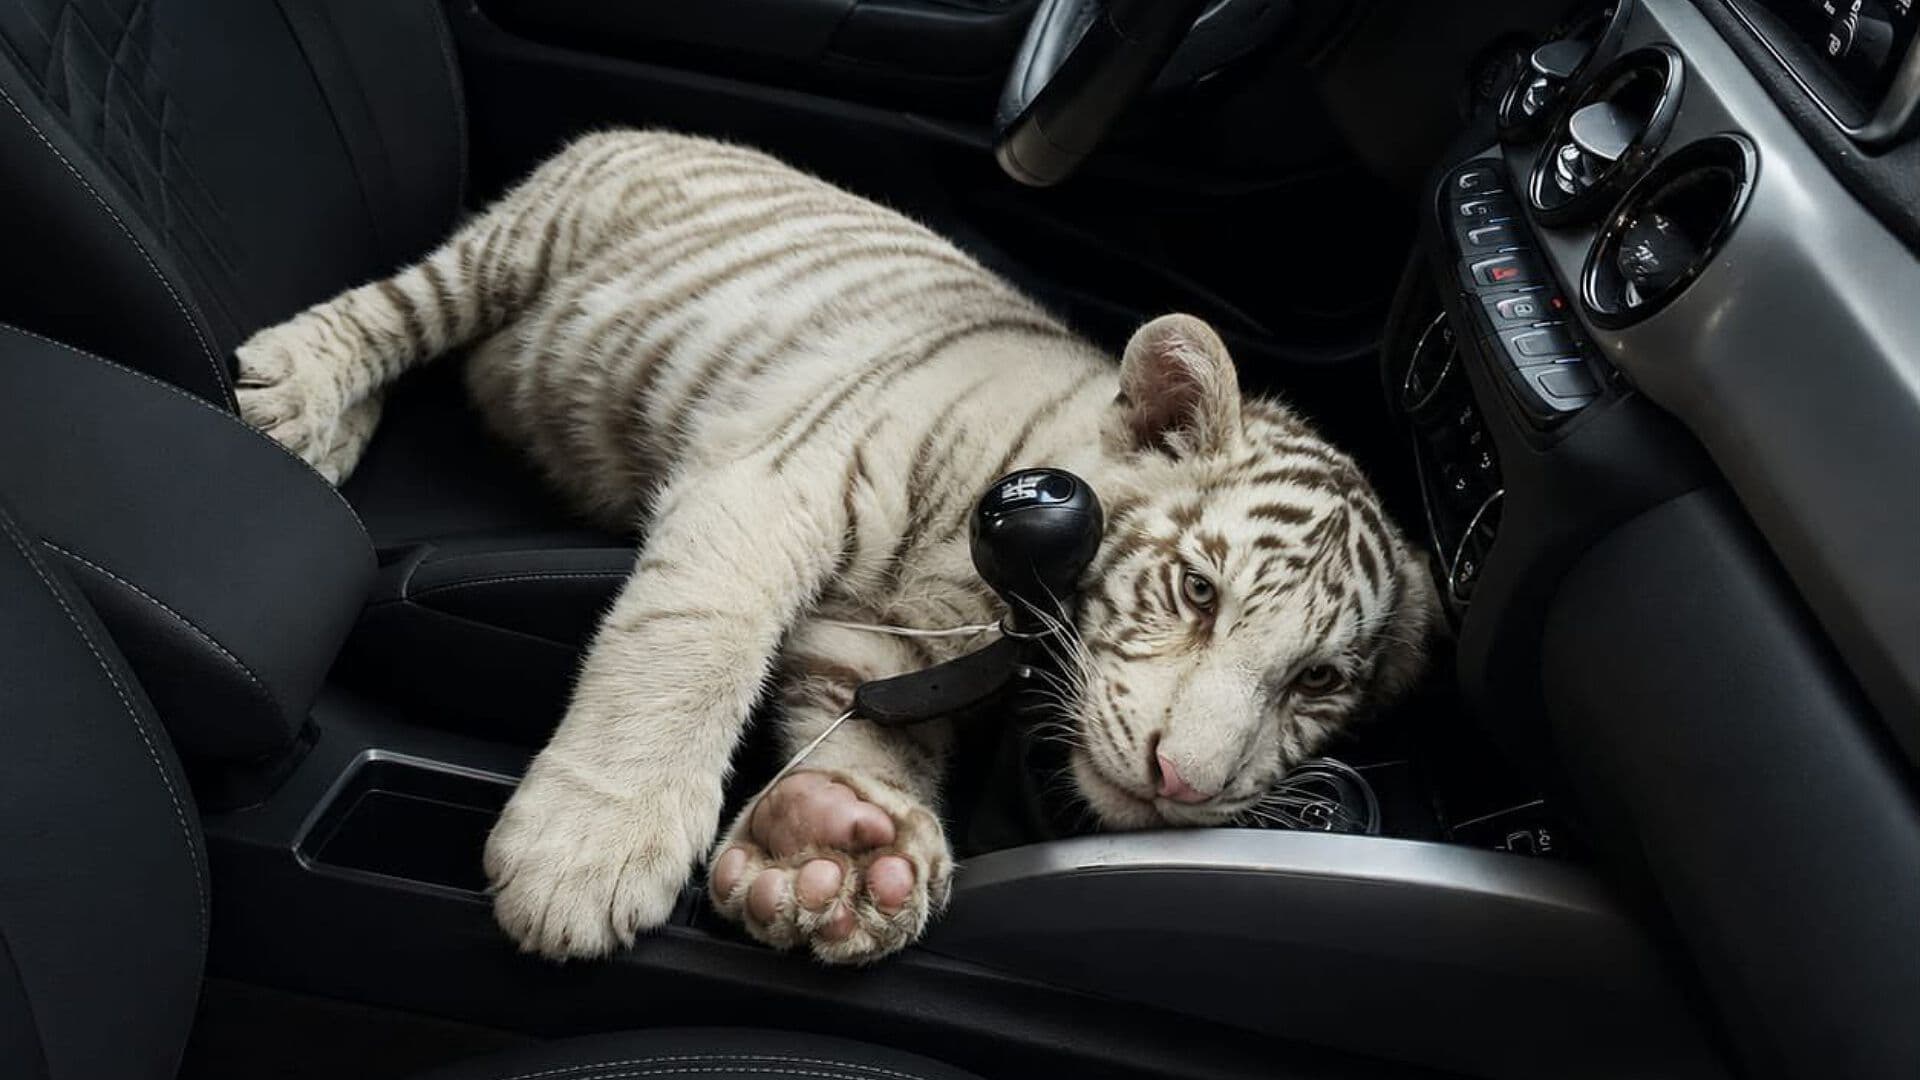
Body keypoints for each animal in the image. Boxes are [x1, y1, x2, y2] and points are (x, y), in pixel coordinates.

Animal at [233, 130, 1439, 965]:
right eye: (1197, 591)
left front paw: (838, 851)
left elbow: (869, 737)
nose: (1183, 783)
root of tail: (669, 129)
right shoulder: (770, 484)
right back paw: (295, 394)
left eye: (1317, 681)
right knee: (400, 307)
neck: (991, 594)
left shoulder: (885, 643)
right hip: (522, 243)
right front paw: (586, 852)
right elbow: (687, 650)